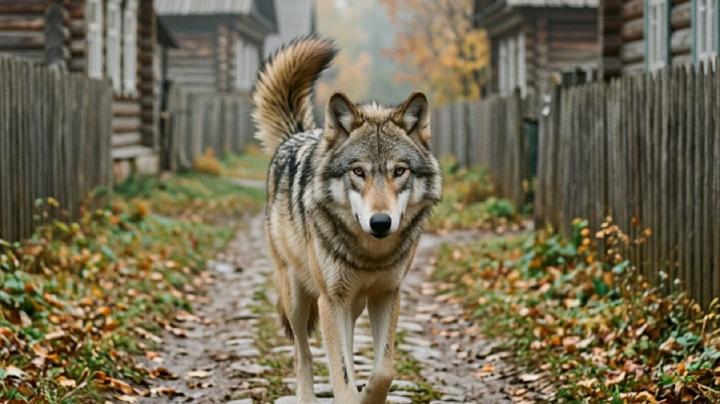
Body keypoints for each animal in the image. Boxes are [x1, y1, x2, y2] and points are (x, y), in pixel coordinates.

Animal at [252, 36, 442, 404]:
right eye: (358, 172)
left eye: (399, 171)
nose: (380, 222)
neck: (370, 254)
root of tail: (295, 136)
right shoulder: (331, 301)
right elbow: (340, 373)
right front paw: (351, 392)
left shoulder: (387, 295)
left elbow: (383, 370)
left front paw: (368, 393)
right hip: (298, 300)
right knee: (303, 354)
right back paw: (306, 396)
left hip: (351, 305)